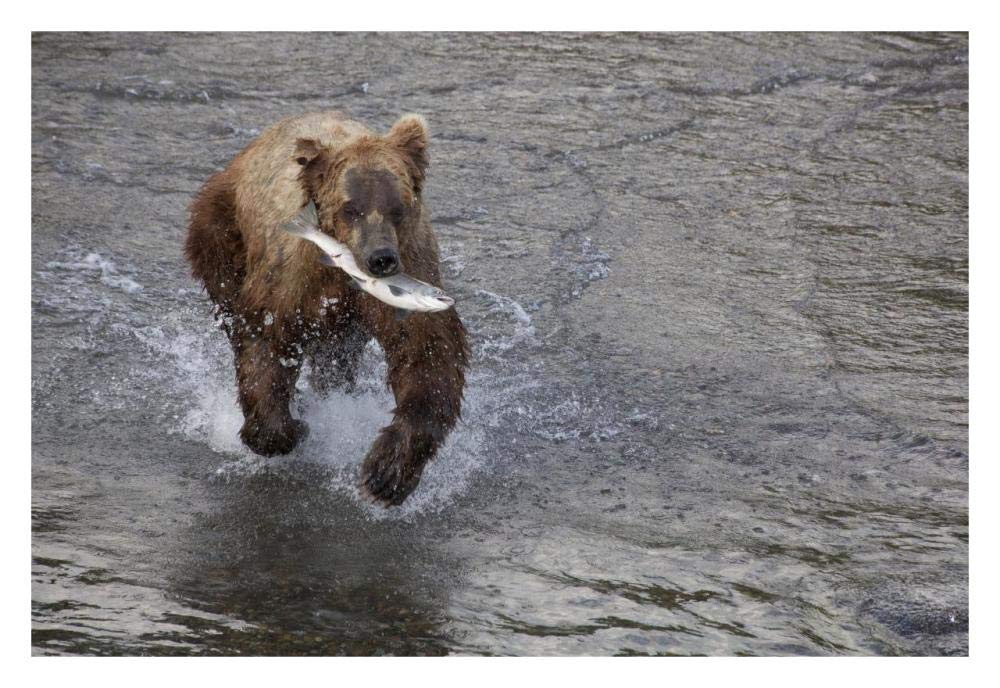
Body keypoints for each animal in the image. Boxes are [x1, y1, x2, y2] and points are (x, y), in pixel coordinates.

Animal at [185, 111, 469, 506]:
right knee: (229, 297)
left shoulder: (413, 266)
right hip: (222, 227)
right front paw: (289, 428)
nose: (381, 258)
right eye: (351, 208)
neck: (341, 272)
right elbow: (266, 339)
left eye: (398, 207)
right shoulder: (291, 279)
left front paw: (386, 472)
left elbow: (427, 354)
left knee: (337, 356)